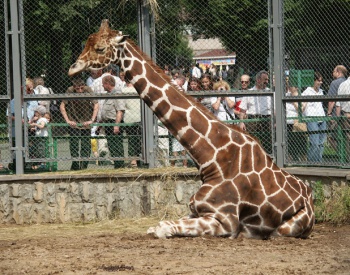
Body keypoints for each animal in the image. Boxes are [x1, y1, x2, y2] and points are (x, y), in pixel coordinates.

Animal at [67, 20, 314, 239]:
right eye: (86, 42)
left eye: (100, 48)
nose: (73, 68)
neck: (211, 157)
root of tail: (309, 192)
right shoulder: (194, 210)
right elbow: (158, 225)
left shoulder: (224, 220)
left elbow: (161, 228)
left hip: (288, 227)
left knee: (280, 232)